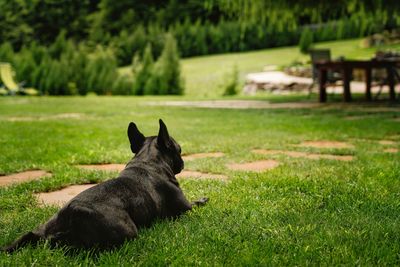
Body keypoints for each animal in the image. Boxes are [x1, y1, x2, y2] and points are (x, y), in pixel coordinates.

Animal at [3, 120, 208, 253]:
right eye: (179, 149)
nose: (182, 162)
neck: (148, 161)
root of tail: (68, 215)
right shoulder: (185, 209)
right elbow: (197, 203)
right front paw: (204, 198)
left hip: (40, 228)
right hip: (127, 233)